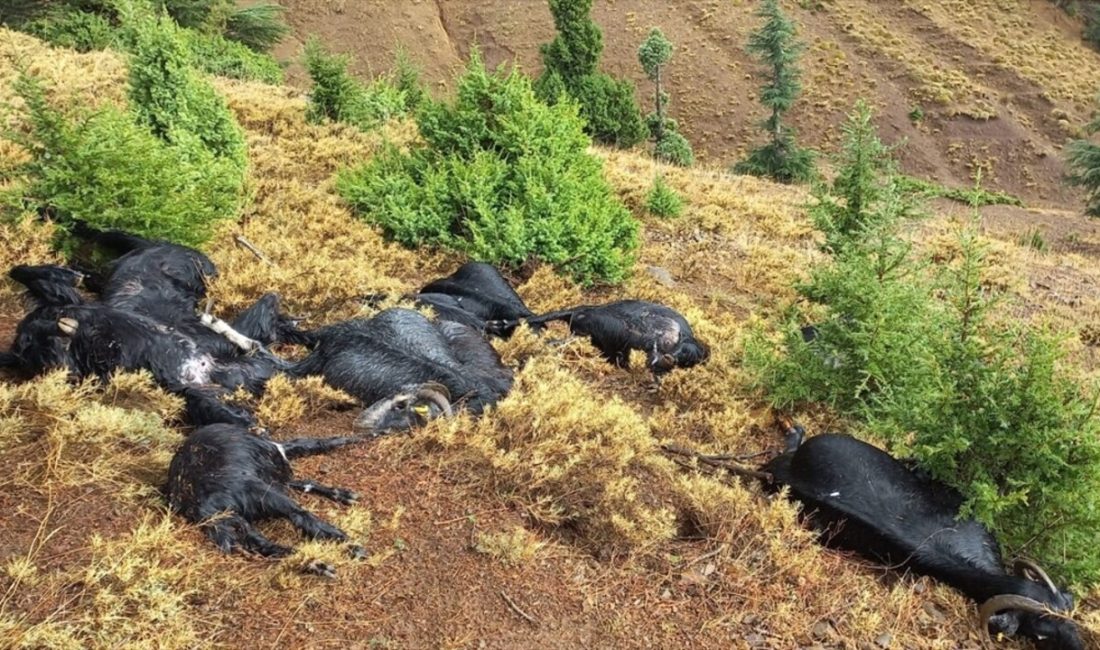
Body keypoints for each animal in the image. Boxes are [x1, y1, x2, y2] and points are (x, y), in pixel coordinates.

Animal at [503, 301, 708, 387]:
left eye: (687, 361)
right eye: (681, 352)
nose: (666, 358)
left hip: (579, 333)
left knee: (551, 338)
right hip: (579, 326)